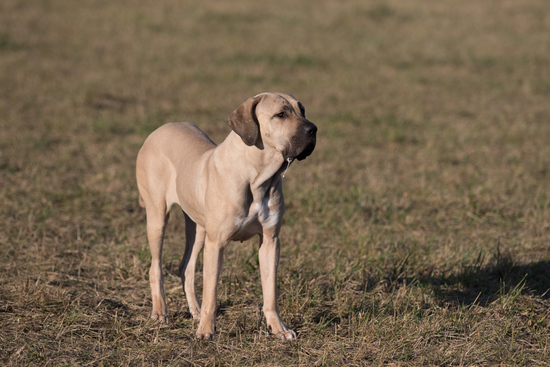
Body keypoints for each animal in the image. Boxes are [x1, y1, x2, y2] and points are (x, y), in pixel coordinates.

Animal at [136, 93, 320, 340]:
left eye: (303, 111)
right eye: (280, 114)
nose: (313, 129)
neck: (257, 176)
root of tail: (156, 131)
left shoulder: (270, 241)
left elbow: (270, 292)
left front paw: (278, 328)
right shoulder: (217, 243)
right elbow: (211, 293)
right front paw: (206, 331)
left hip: (198, 227)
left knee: (186, 267)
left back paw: (195, 310)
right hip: (157, 216)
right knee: (155, 266)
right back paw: (160, 312)